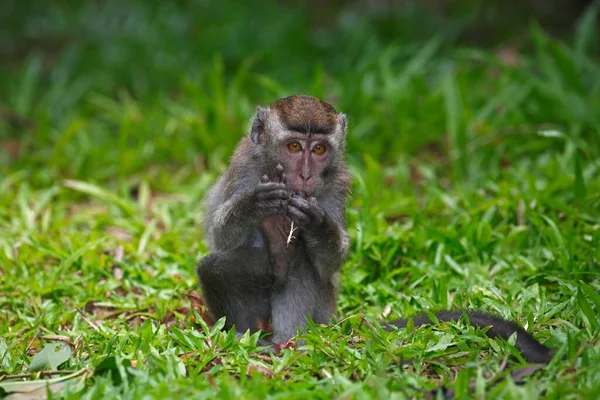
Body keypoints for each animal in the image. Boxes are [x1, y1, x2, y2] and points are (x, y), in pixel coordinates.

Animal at [197, 95, 552, 364]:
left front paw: (318, 224)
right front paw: (254, 204)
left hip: (321, 313)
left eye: (319, 150)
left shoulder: (337, 180)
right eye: (295, 147)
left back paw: (290, 336)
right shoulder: (243, 164)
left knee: (301, 264)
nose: (307, 175)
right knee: (213, 267)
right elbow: (221, 237)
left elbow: (328, 262)